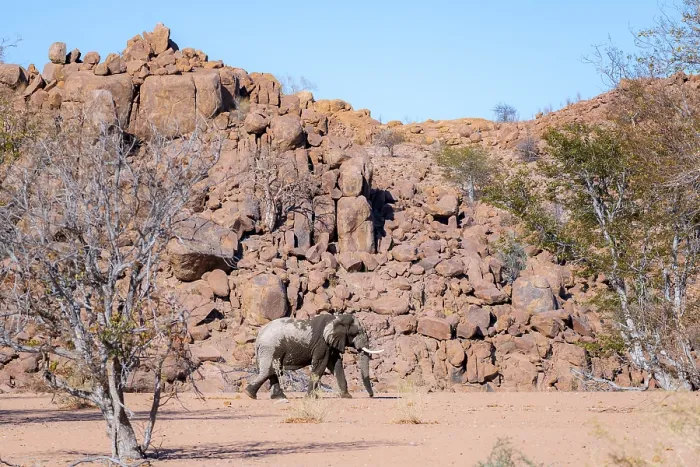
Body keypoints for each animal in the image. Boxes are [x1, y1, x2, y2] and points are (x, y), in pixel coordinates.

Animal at [244, 313, 384, 400]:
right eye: (357, 332)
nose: (371, 396)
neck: (336, 318)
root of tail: (258, 336)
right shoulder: (321, 342)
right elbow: (320, 365)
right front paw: (311, 398)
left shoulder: (330, 344)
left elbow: (336, 364)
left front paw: (346, 397)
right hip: (271, 348)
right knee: (270, 370)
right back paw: (249, 394)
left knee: (273, 371)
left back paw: (278, 397)